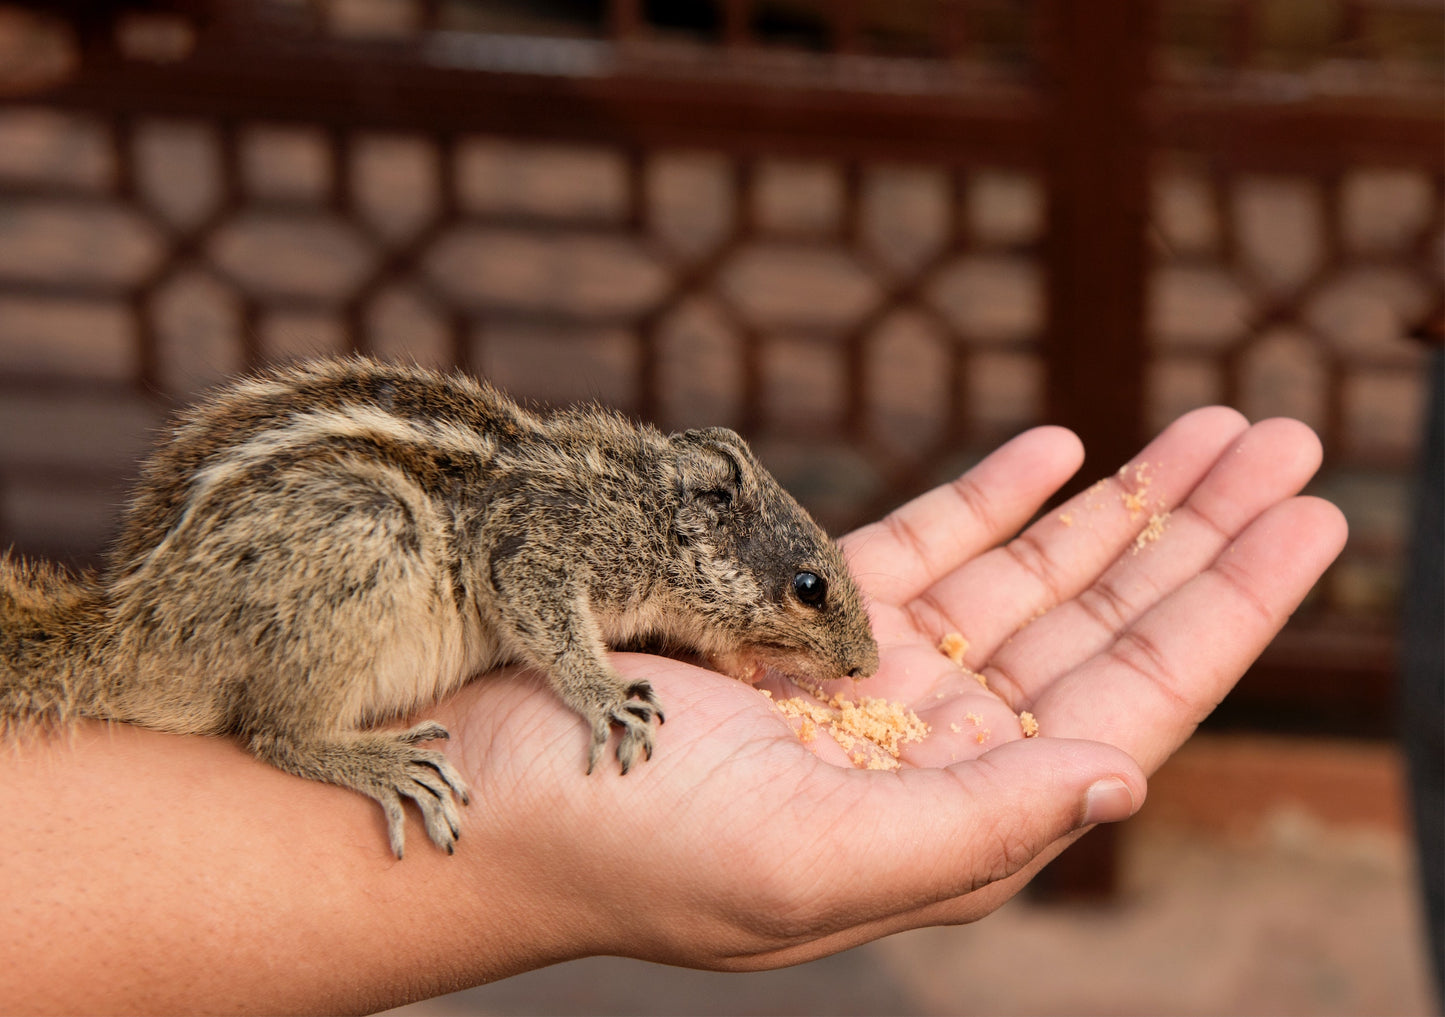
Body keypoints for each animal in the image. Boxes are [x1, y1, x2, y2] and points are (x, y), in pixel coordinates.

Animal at [0, 358, 878, 855]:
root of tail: (125, 634)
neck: (646, 505)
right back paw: (383, 763)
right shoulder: (538, 545)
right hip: (365, 535)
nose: (866, 666)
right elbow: (545, 614)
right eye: (809, 587)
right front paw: (604, 693)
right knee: (274, 733)